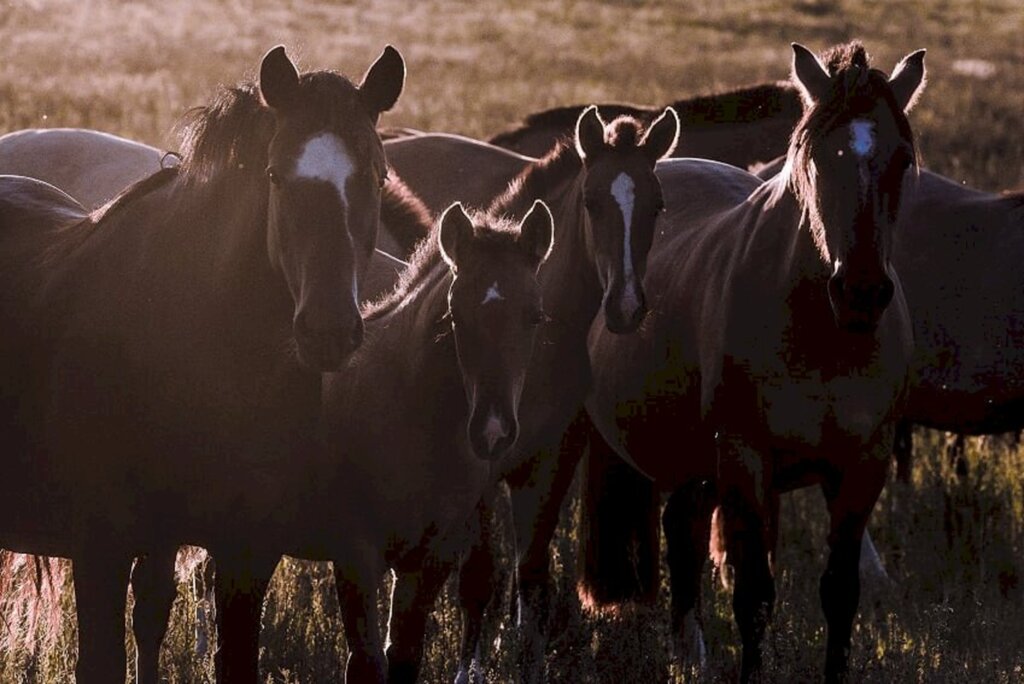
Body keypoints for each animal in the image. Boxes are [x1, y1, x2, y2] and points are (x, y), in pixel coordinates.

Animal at [577, 42, 929, 679]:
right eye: (819, 159)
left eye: (902, 159)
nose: (862, 292)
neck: (822, 338)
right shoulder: (745, 458)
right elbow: (754, 599)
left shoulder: (863, 465)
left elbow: (841, 594)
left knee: (684, 531)